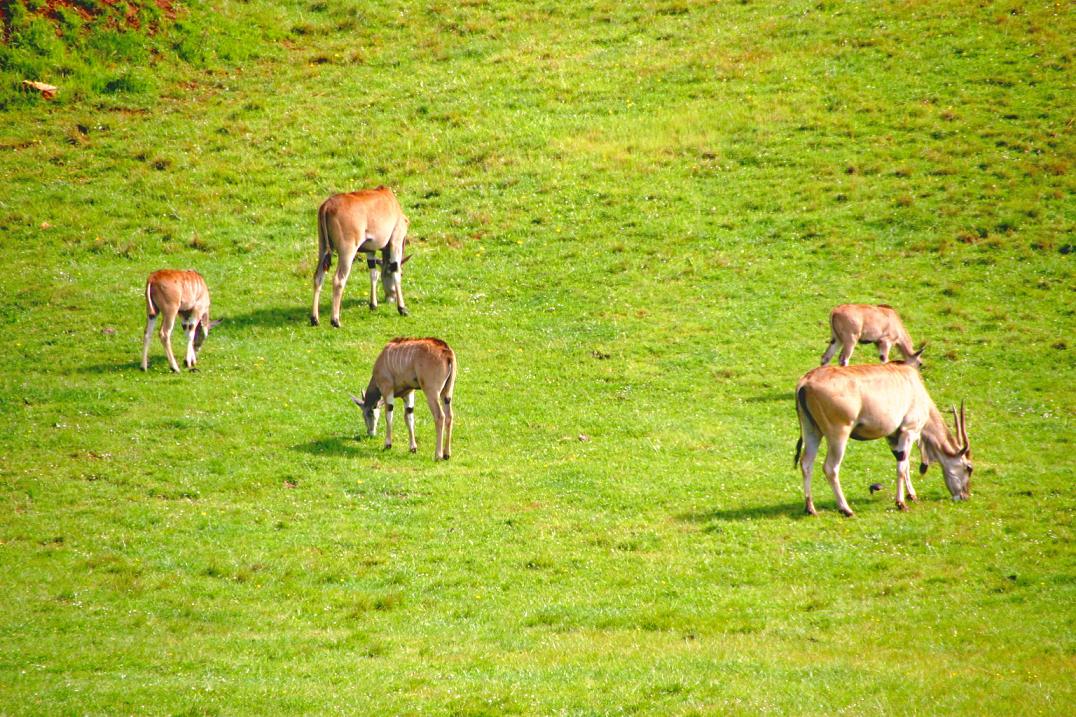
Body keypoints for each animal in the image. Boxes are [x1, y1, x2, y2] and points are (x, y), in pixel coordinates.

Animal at [314, 185, 413, 327]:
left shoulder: (370, 249)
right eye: (403, 274)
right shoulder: (396, 240)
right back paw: (335, 320)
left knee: (318, 276)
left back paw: (314, 319)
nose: (390, 298)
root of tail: (327, 206)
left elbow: (373, 273)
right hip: (347, 251)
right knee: (338, 280)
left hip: (323, 248)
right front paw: (402, 308)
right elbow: (395, 270)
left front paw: (373, 305)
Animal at [791, 359, 977, 516]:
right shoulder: (909, 431)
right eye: (969, 468)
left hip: (812, 431)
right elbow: (901, 467)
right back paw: (846, 509)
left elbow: (904, 464)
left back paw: (810, 508)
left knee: (806, 463)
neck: (916, 389)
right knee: (830, 468)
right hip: (838, 435)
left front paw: (912, 495)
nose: (964, 495)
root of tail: (806, 381)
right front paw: (901, 503)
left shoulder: (893, 437)